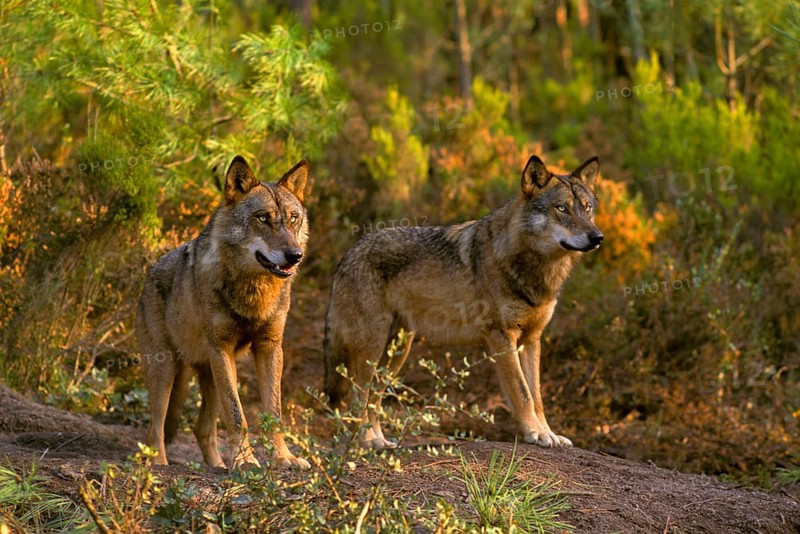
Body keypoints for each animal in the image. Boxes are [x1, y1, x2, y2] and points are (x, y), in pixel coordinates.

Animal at [136, 155, 310, 469]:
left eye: (293, 218)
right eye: (263, 218)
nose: (295, 255)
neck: (255, 292)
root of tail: (149, 273)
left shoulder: (270, 348)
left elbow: (274, 414)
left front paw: (283, 458)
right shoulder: (221, 348)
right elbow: (237, 416)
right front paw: (244, 460)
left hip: (215, 373)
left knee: (201, 429)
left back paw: (217, 465)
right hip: (166, 369)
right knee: (154, 427)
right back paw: (159, 464)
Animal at [324, 155, 603, 449]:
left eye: (587, 209)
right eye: (562, 208)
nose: (598, 237)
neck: (535, 268)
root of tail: (347, 255)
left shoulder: (531, 339)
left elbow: (536, 396)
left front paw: (548, 432)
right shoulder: (501, 337)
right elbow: (522, 392)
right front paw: (535, 433)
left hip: (397, 352)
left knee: (374, 398)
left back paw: (379, 441)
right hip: (374, 348)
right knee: (357, 396)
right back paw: (364, 443)